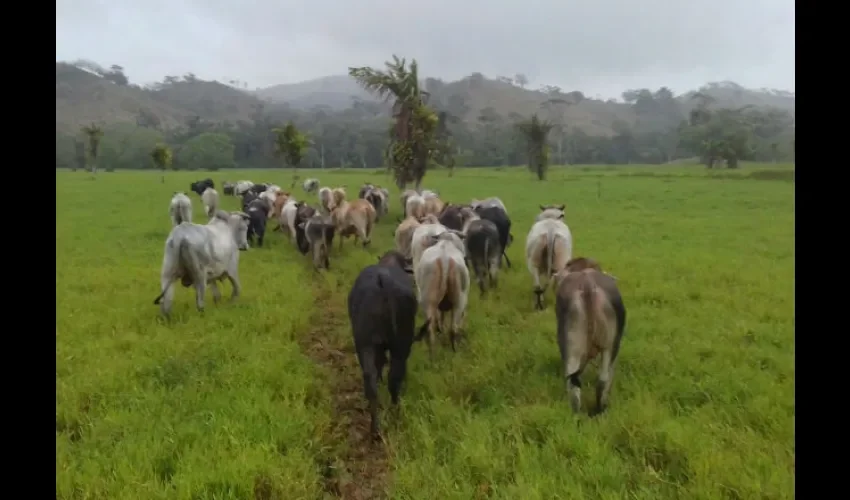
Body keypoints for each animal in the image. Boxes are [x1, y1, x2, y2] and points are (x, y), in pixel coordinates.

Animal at [348, 250, 418, 438]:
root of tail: (383, 281)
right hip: (399, 346)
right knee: (393, 377)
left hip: (366, 345)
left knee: (373, 379)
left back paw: (375, 429)